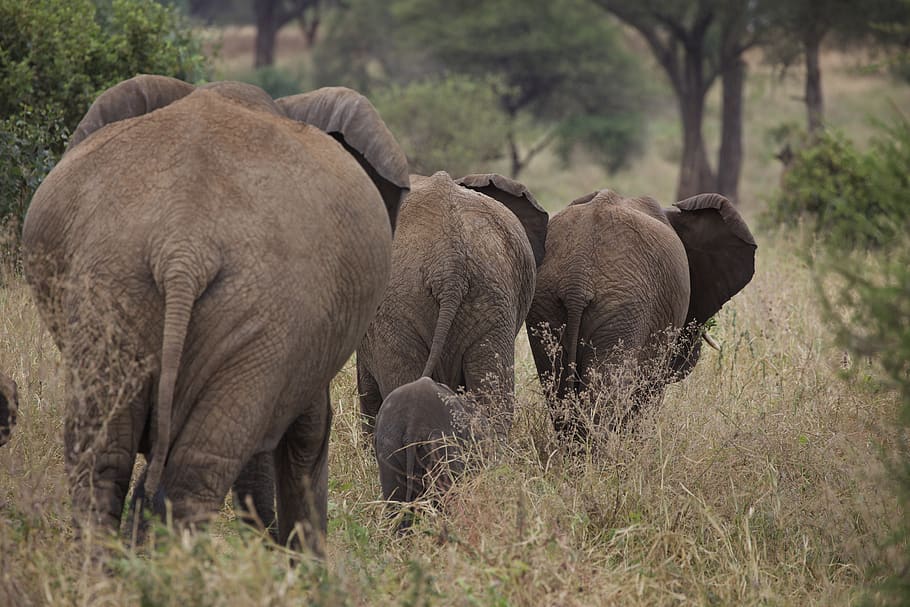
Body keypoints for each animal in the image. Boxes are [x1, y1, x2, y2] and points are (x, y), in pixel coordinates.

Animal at [22, 74, 409, 554]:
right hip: (247, 308)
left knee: (105, 459)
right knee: (191, 470)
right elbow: (308, 433)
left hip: (121, 293)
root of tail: (182, 245)